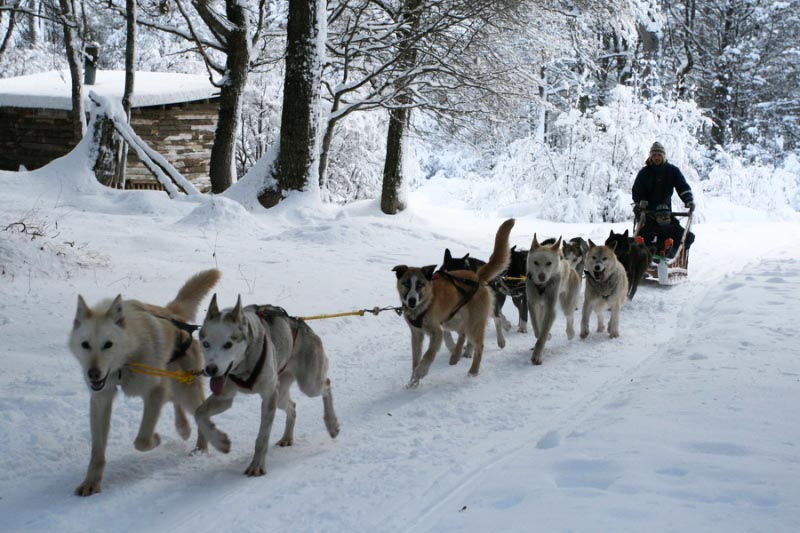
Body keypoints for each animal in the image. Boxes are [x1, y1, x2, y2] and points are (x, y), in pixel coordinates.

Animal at [67, 268, 219, 496]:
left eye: (108, 344)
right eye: (85, 344)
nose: (93, 374)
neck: (124, 363)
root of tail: (173, 314)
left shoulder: (154, 392)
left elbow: (142, 440)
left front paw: (156, 439)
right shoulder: (101, 400)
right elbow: (97, 452)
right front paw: (91, 482)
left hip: (185, 389)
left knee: (199, 411)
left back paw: (200, 448)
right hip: (176, 383)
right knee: (176, 401)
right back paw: (183, 427)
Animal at [199, 298, 340, 476]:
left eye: (228, 344)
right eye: (206, 344)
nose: (210, 369)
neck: (244, 367)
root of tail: (300, 323)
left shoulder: (269, 395)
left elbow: (262, 437)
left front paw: (256, 465)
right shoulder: (225, 397)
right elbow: (199, 414)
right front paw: (220, 442)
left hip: (308, 385)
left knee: (326, 384)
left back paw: (332, 424)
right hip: (280, 394)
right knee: (292, 406)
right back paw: (287, 438)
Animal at [392, 216, 512, 386]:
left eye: (420, 285)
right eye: (406, 284)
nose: (412, 301)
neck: (424, 304)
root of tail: (477, 277)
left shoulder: (436, 332)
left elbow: (428, 355)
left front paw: (421, 372)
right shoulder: (417, 335)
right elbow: (416, 359)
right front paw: (413, 380)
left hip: (473, 323)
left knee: (480, 343)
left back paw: (473, 370)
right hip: (452, 321)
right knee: (462, 334)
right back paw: (456, 355)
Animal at [524, 235, 580, 364]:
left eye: (549, 263)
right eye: (536, 262)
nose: (541, 276)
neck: (541, 286)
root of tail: (569, 266)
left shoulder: (551, 309)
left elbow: (542, 335)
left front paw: (537, 355)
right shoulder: (532, 304)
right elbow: (537, 326)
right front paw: (544, 336)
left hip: (566, 304)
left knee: (570, 317)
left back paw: (570, 333)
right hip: (541, 306)